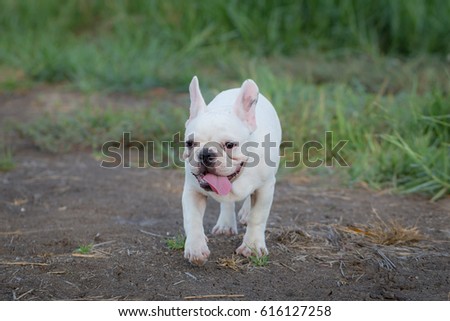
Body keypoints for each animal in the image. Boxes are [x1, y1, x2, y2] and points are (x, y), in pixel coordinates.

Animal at [181, 75, 280, 264]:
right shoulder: (192, 191)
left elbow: (258, 216)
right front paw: (196, 247)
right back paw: (225, 224)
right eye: (189, 143)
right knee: (227, 202)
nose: (205, 153)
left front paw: (252, 246)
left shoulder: (265, 188)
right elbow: (193, 219)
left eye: (230, 145)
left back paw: (245, 213)